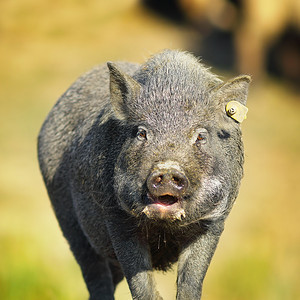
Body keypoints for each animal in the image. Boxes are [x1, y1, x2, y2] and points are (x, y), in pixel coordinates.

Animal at [37, 50, 251, 298]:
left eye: (200, 136)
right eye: (141, 133)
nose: (167, 170)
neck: (163, 229)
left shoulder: (214, 221)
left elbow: (191, 281)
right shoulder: (117, 218)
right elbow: (141, 284)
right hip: (67, 219)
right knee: (94, 275)